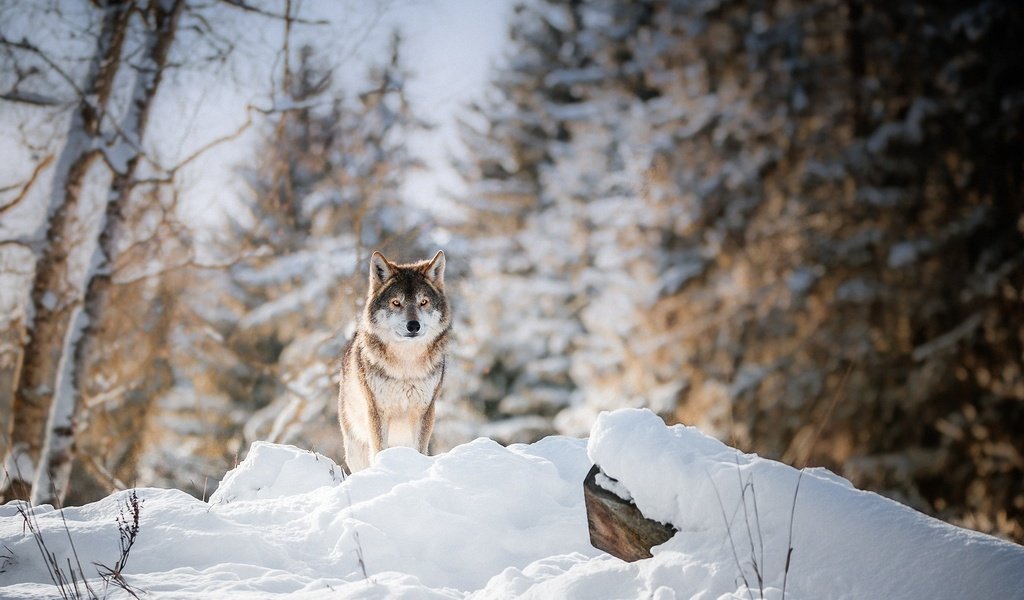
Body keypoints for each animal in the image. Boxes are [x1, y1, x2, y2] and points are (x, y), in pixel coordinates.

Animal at [337, 248, 450, 470]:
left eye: (423, 302)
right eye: (396, 302)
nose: (413, 325)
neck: (406, 365)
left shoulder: (424, 411)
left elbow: (419, 450)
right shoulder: (377, 411)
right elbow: (379, 449)